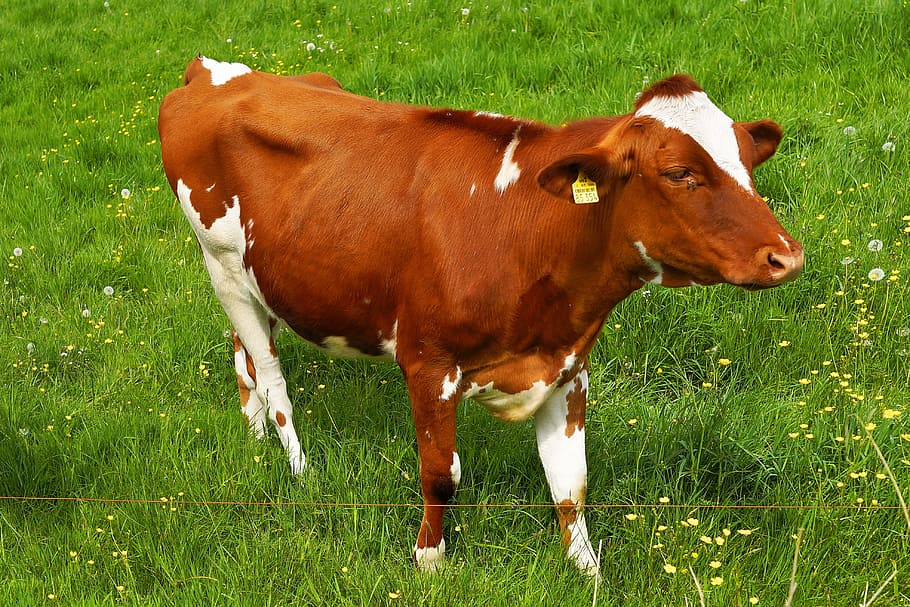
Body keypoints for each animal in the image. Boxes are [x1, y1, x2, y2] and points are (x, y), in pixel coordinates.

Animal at [158, 56, 803, 576]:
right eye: (679, 173)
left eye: (749, 162)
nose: (786, 256)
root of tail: (213, 70)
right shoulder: (428, 362)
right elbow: (441, 475)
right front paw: (429, 562)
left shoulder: (567, 367)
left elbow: (571, 485)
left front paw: (588, 572)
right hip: (222, 263)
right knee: (270, 373)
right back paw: (299, 468)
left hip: (258, 279)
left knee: (243, 355)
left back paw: (255, 435)